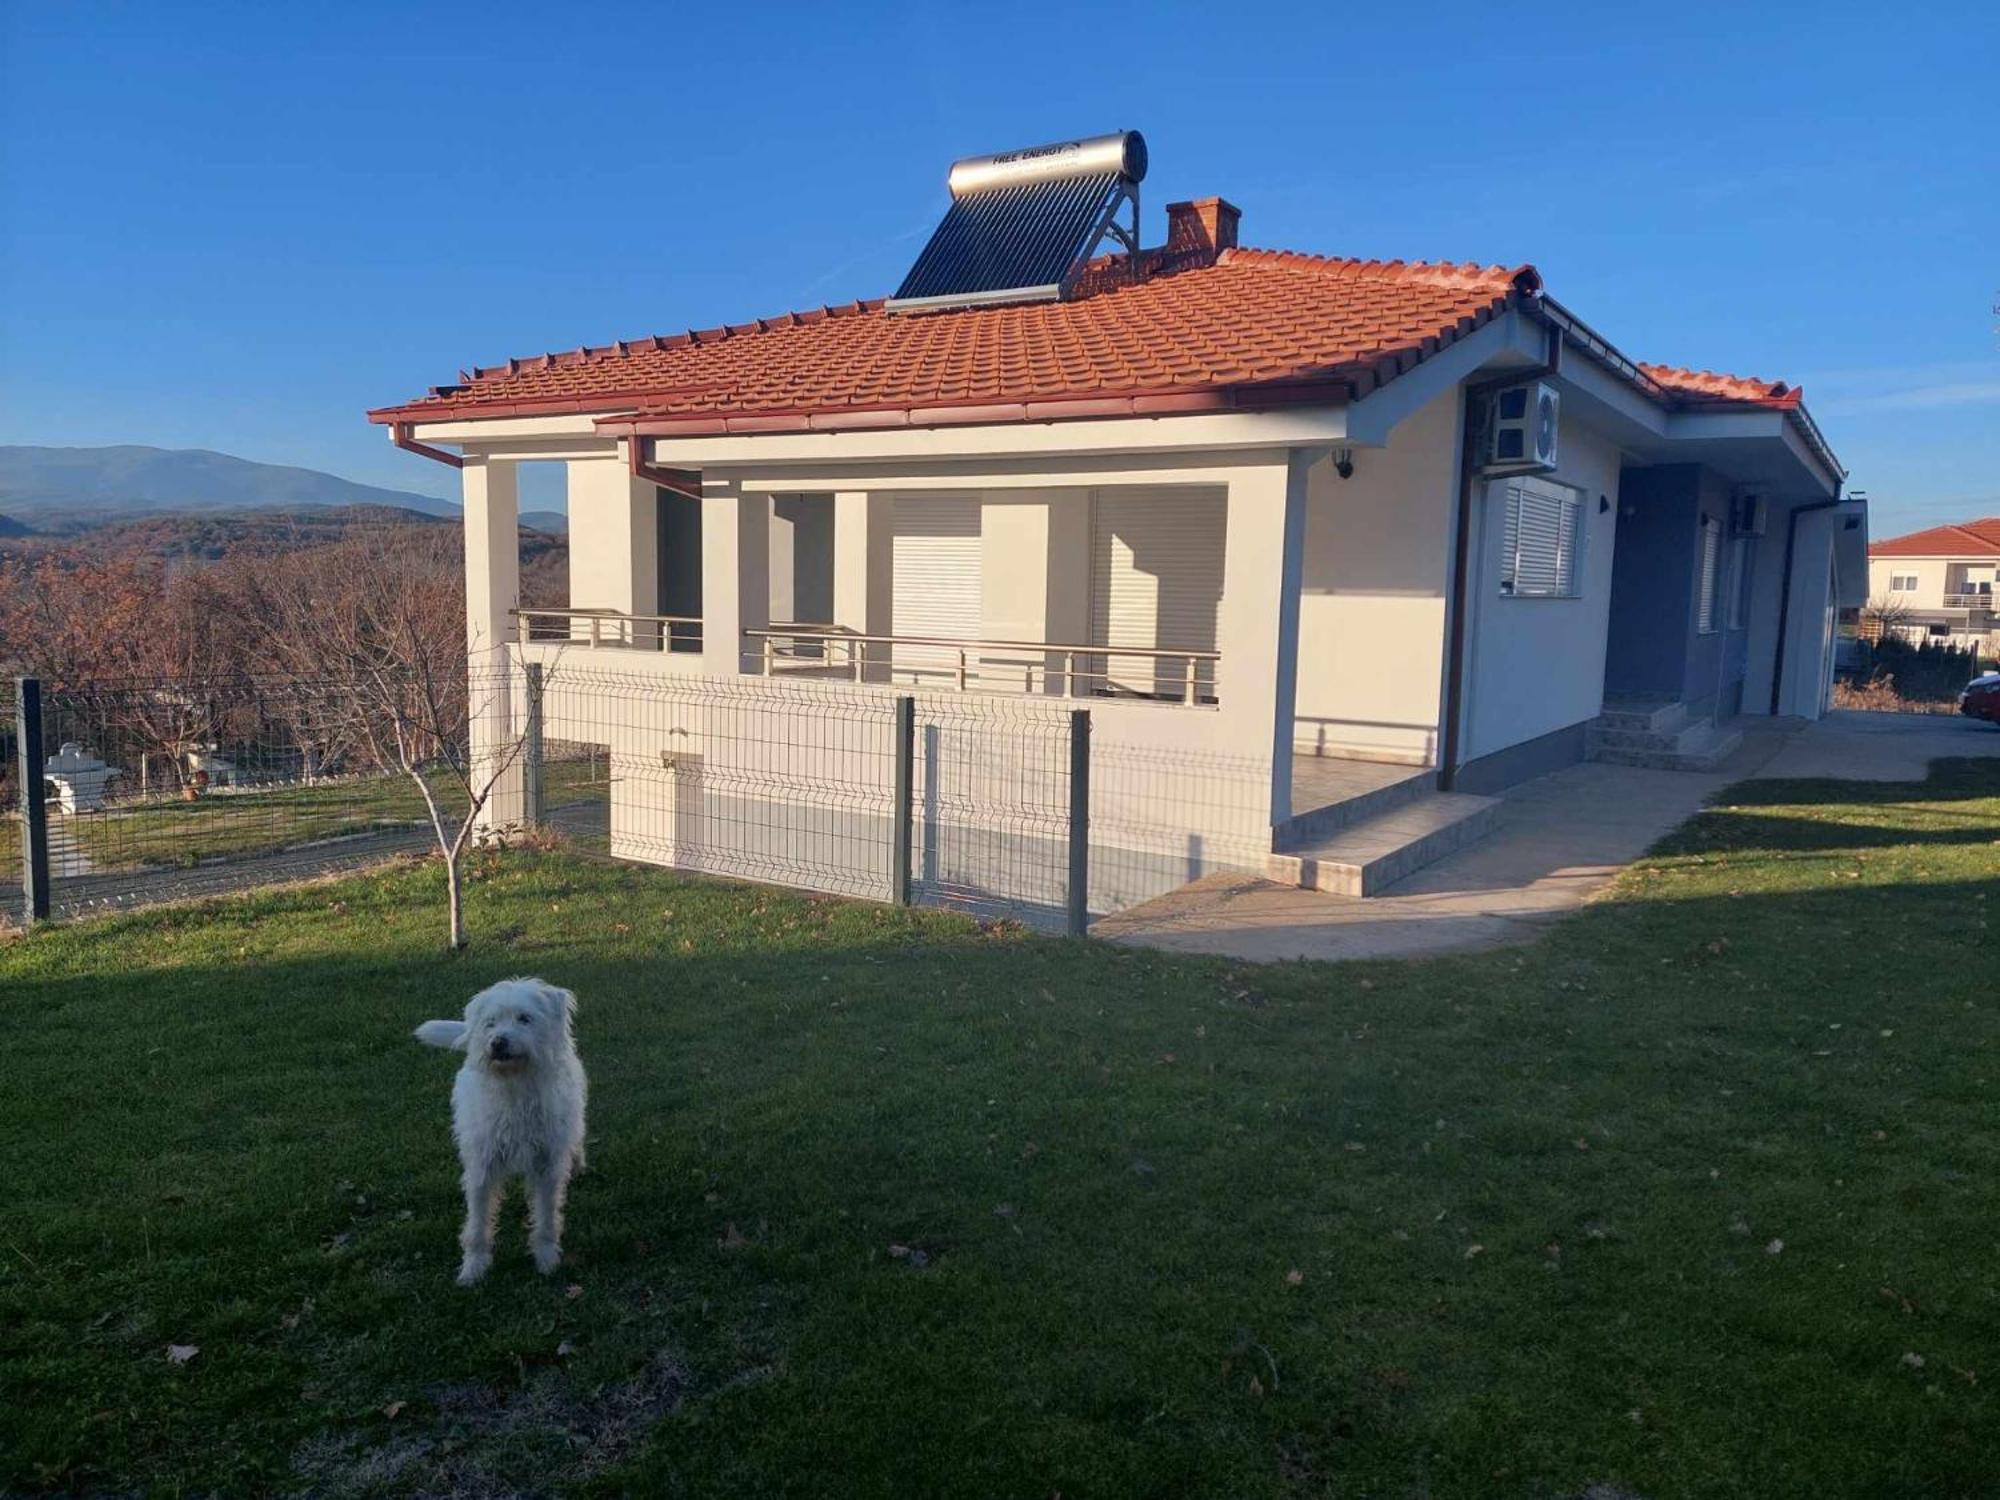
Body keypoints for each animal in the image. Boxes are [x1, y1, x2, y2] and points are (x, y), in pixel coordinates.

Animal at [414, 980, 584, 1288]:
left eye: (524, 1018)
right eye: (490, 1023)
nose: (497, 1043)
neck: (515, 1087)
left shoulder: (547, 1167)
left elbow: (546, 1216)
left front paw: (546, 1259)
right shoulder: (482, 1166)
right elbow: (478, 1223)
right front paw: (473, 1268)